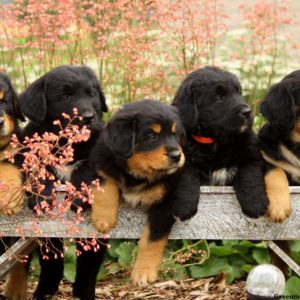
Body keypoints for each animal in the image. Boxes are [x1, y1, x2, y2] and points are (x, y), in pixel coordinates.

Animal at [17, 65, 108, 300]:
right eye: (65, 97)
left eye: (91, 94)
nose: (88, 117)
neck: (68, 144)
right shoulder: (28, 152)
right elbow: (38, 169)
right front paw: (41, 199)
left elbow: (87, 166)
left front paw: (77, 197)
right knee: (52, 256)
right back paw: (45, 289)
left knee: (90, 261)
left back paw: (83, 291)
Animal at [90, 99, 185, 288]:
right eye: (151, 135)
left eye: (175, 134)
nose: (177, 156)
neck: (137, 174)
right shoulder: (101, 161)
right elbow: (106, 184)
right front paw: (104, 219)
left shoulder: (165, 204)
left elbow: (151, 241)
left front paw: (144, 272)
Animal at [171, 67, 268, 221]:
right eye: (218, 97)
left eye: (239, 93)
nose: (247, 112)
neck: (216, 141)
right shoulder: (182, 158)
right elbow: (187, 178)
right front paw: (184, 207)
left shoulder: (252, 156)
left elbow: (249, 176)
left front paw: (255, 204)